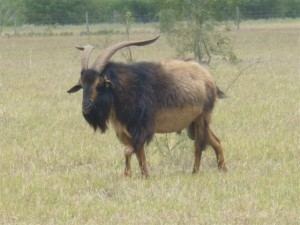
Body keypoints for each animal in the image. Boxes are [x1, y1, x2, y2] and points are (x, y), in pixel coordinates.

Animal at [67, 35, 227, 177]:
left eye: (99, 84)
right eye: (82, 85)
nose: (86, 107)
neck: (123, 89)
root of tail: (209, 78)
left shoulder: (141, 129)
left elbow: (135, 151)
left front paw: (145, 175)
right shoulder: (123, 131)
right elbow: (130, 152)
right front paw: (128, 175)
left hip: (202, 118)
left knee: (199, 145)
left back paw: (195, 172)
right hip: (193, 123)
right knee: (215, 141)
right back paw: (222, 169)